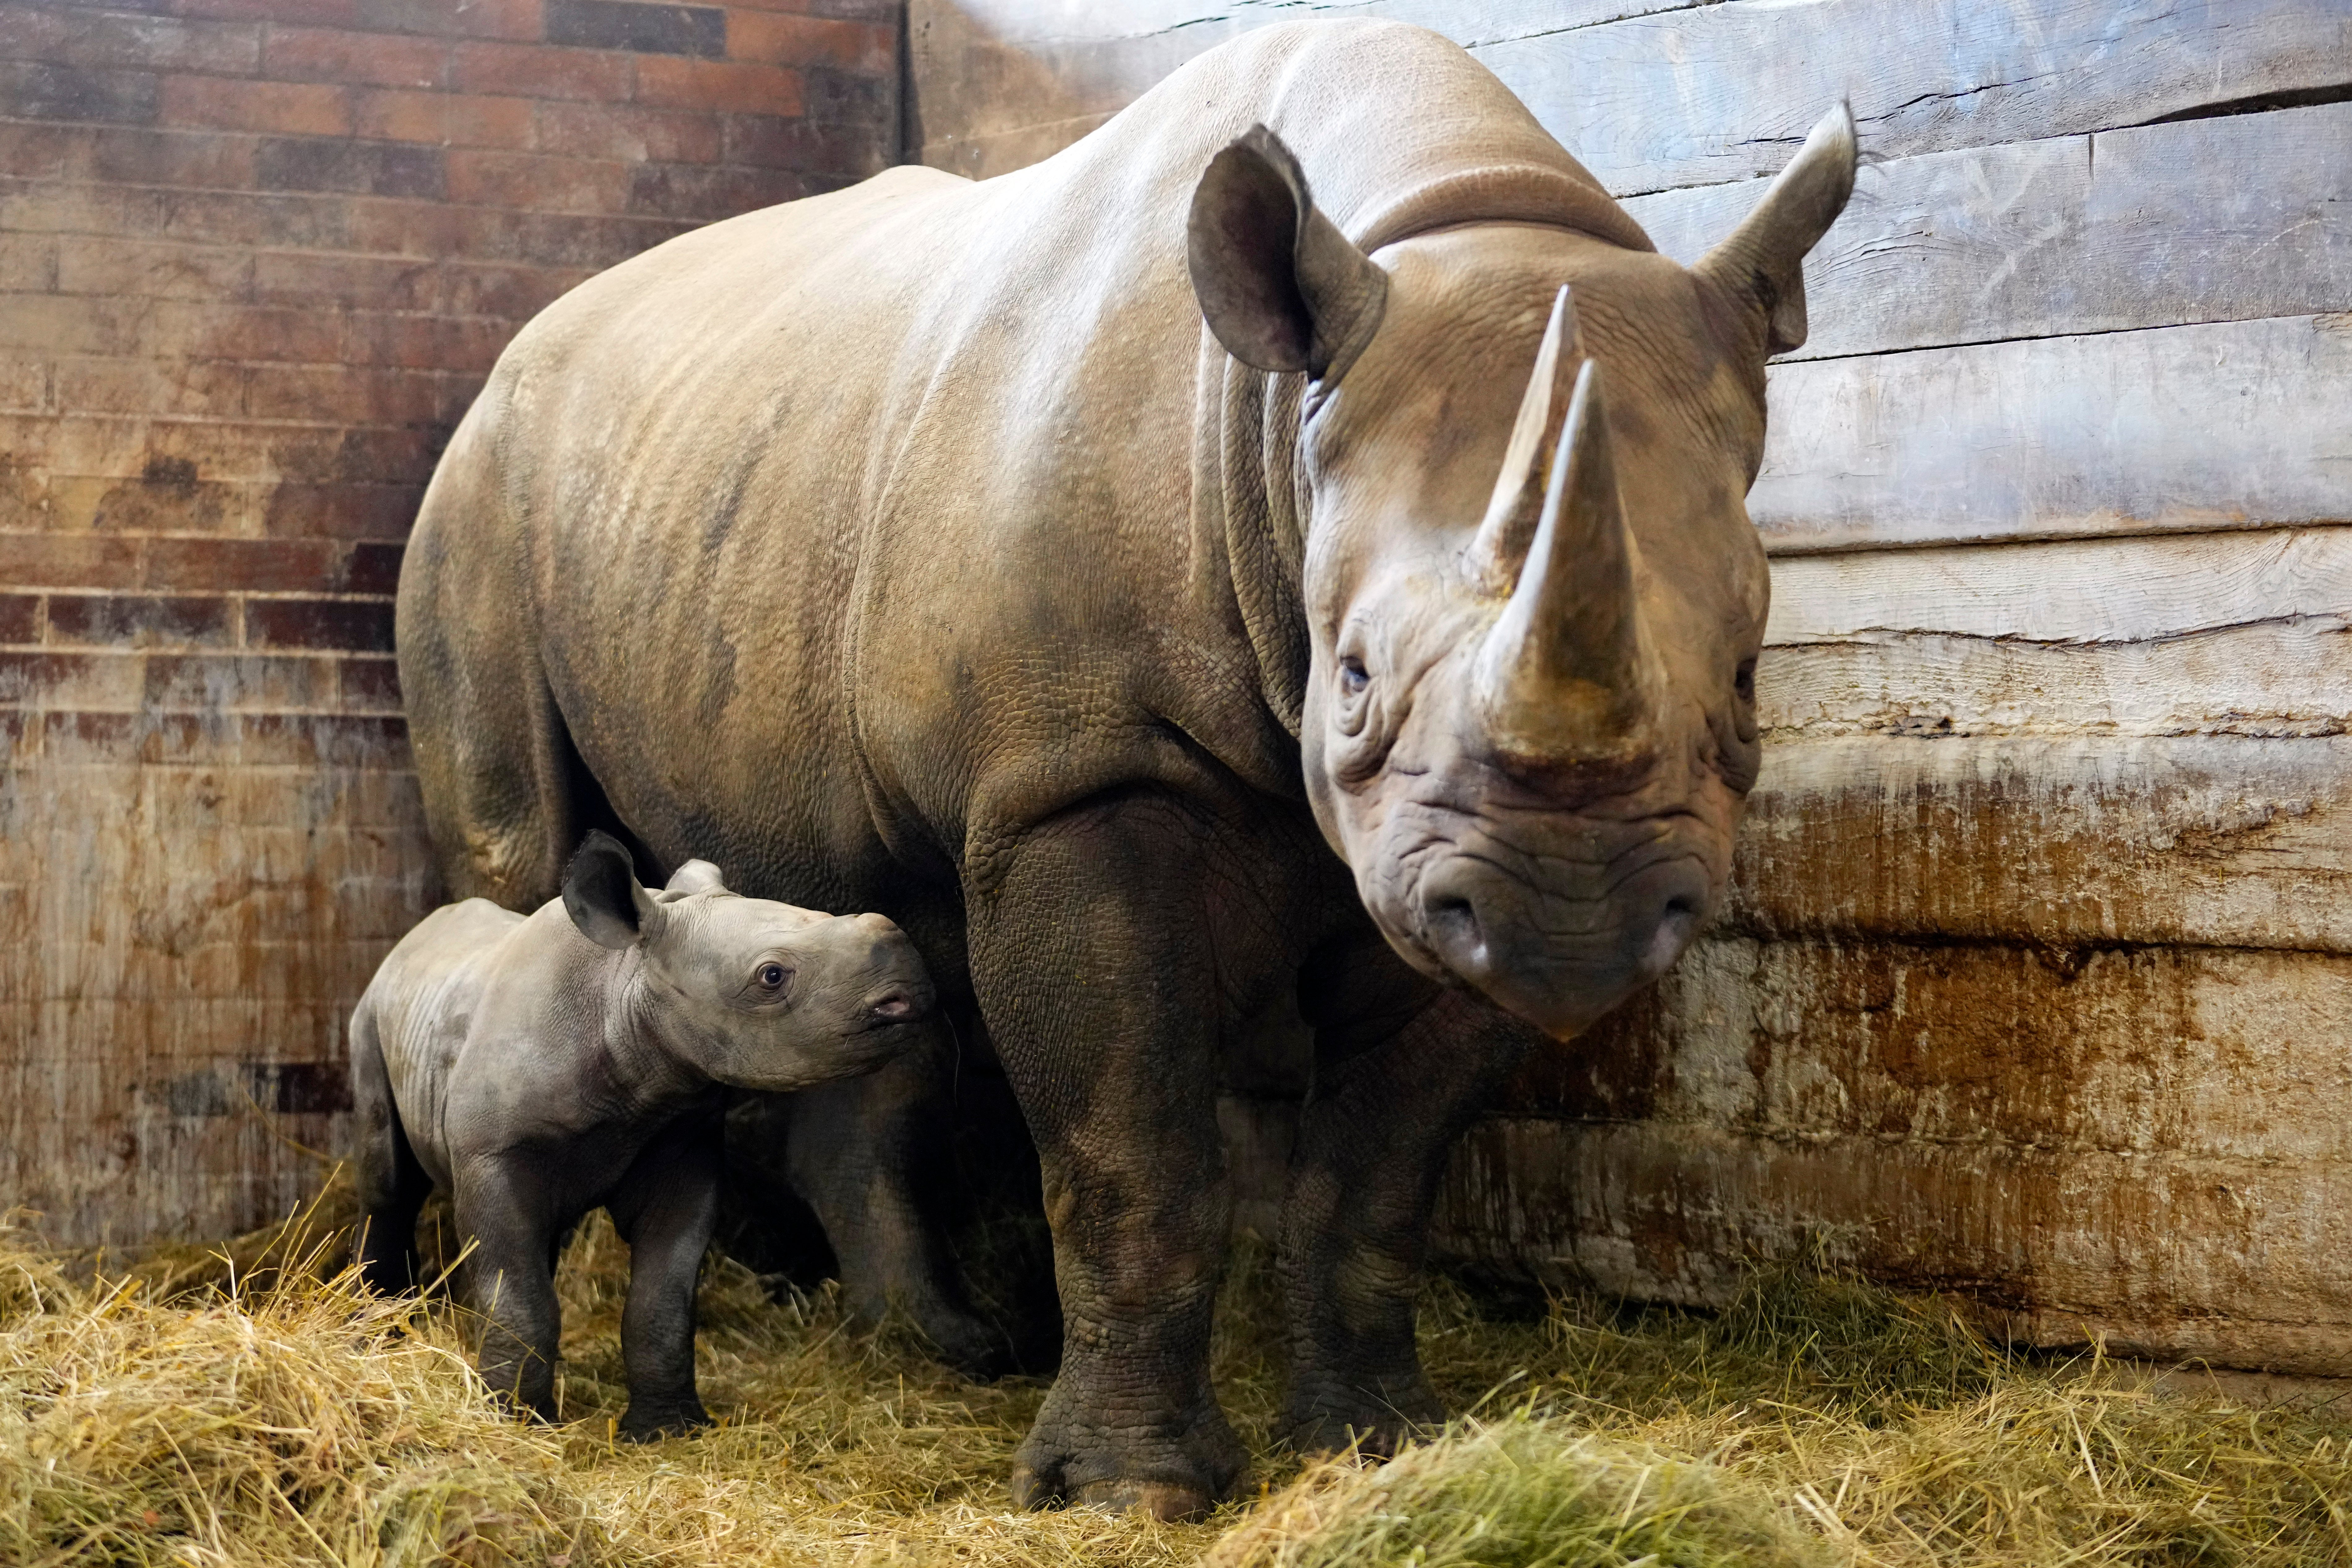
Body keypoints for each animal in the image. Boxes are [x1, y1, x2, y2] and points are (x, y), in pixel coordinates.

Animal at [349, 831, 937, 1437]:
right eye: (772, 976)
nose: (907, 989)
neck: (624, 990)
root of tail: (410, 939)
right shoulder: (493, 1153)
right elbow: (516, 1292)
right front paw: (518, 1424)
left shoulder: (679, 1142)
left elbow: (662, 1299)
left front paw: (669, 1430)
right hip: (370, 1013)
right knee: (389, 1182)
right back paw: (378, 1333)